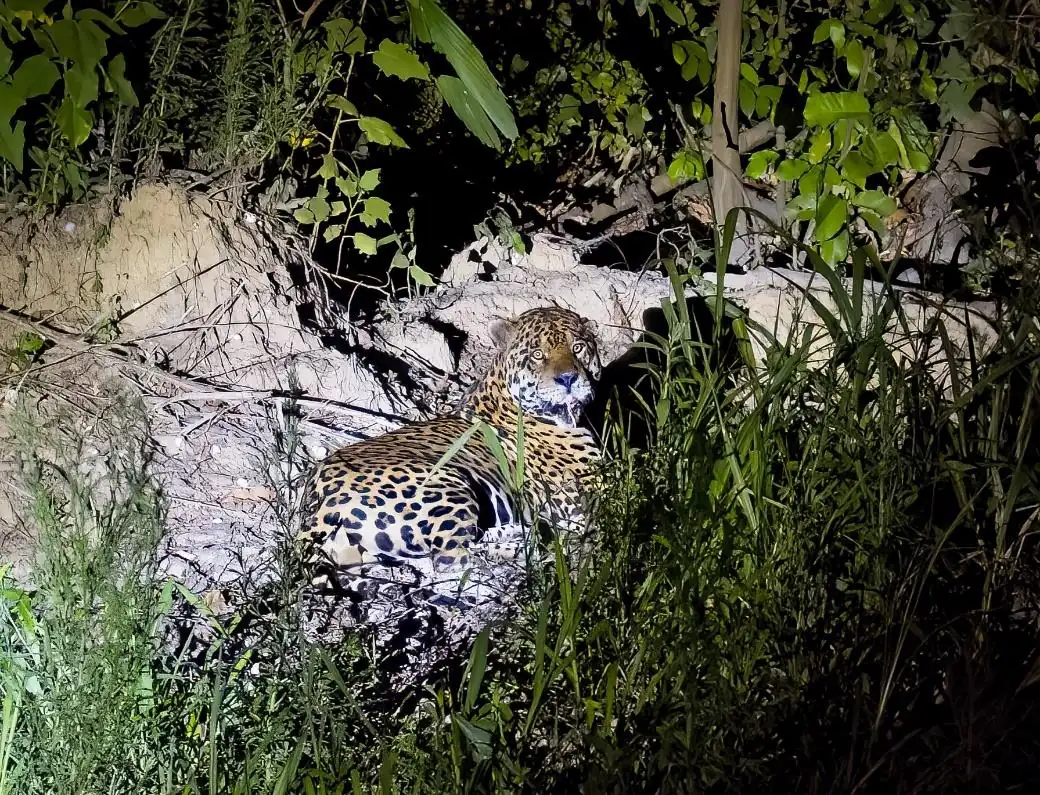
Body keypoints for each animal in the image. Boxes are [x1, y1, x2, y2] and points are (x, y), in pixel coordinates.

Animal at [298, 306, 603, 582]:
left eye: (578, 348)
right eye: (537, 355)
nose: (568, 379)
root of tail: (315, 505)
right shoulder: (587, 492)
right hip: (446, 482)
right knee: (451, 559)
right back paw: (529, 543)